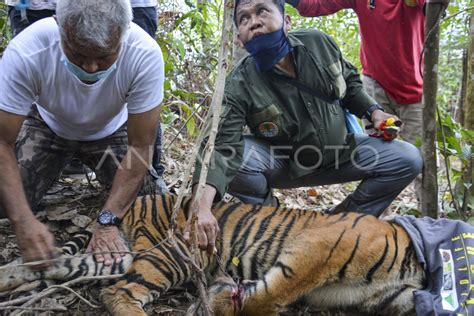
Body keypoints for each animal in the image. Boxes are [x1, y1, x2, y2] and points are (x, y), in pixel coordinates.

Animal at [0, 194, 422, 314]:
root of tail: (141, 198)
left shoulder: (386, 297)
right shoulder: (316, 249)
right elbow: (274, 292)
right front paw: (230, 302)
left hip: (126, 255)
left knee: (61, 266)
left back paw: (9, 275)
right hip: (173, 255)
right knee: (117, 292)